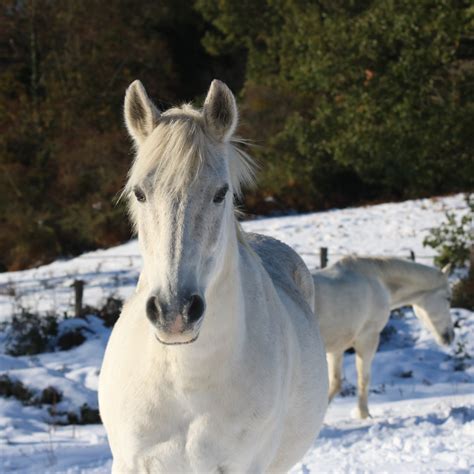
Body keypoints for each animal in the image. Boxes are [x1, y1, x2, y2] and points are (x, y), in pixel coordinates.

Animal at [312, 256, 454, 418]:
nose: (450, 336)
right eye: (448, 298)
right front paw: (363, 414)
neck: (378, 282)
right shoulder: (368, 339)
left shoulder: (337, 347)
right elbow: (363, 378)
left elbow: (335, 384)